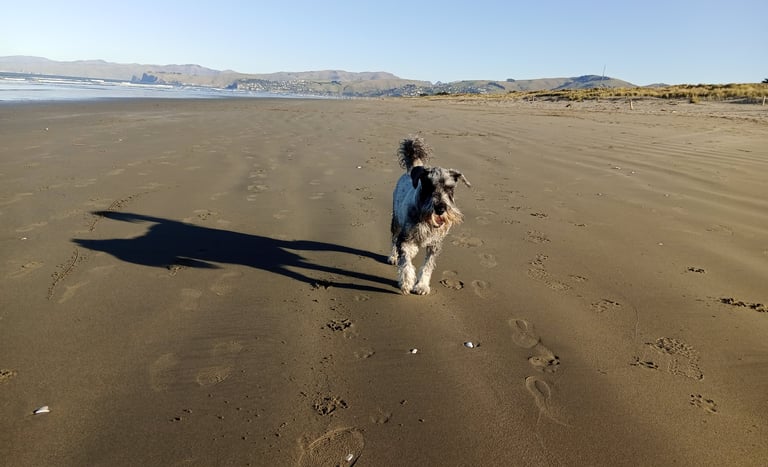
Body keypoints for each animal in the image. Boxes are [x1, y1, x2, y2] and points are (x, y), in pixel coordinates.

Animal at [388, 136, 471, 295]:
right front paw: (406, 283)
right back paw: (393, 256)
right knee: (394, 239)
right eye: (429, 186)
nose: (440, 208)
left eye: (449, 188)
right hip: (396, 221)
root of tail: (412, 169)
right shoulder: (405, 238)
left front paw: (422, 286)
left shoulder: (435, 245)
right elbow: (405, 261)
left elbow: (428, 266)